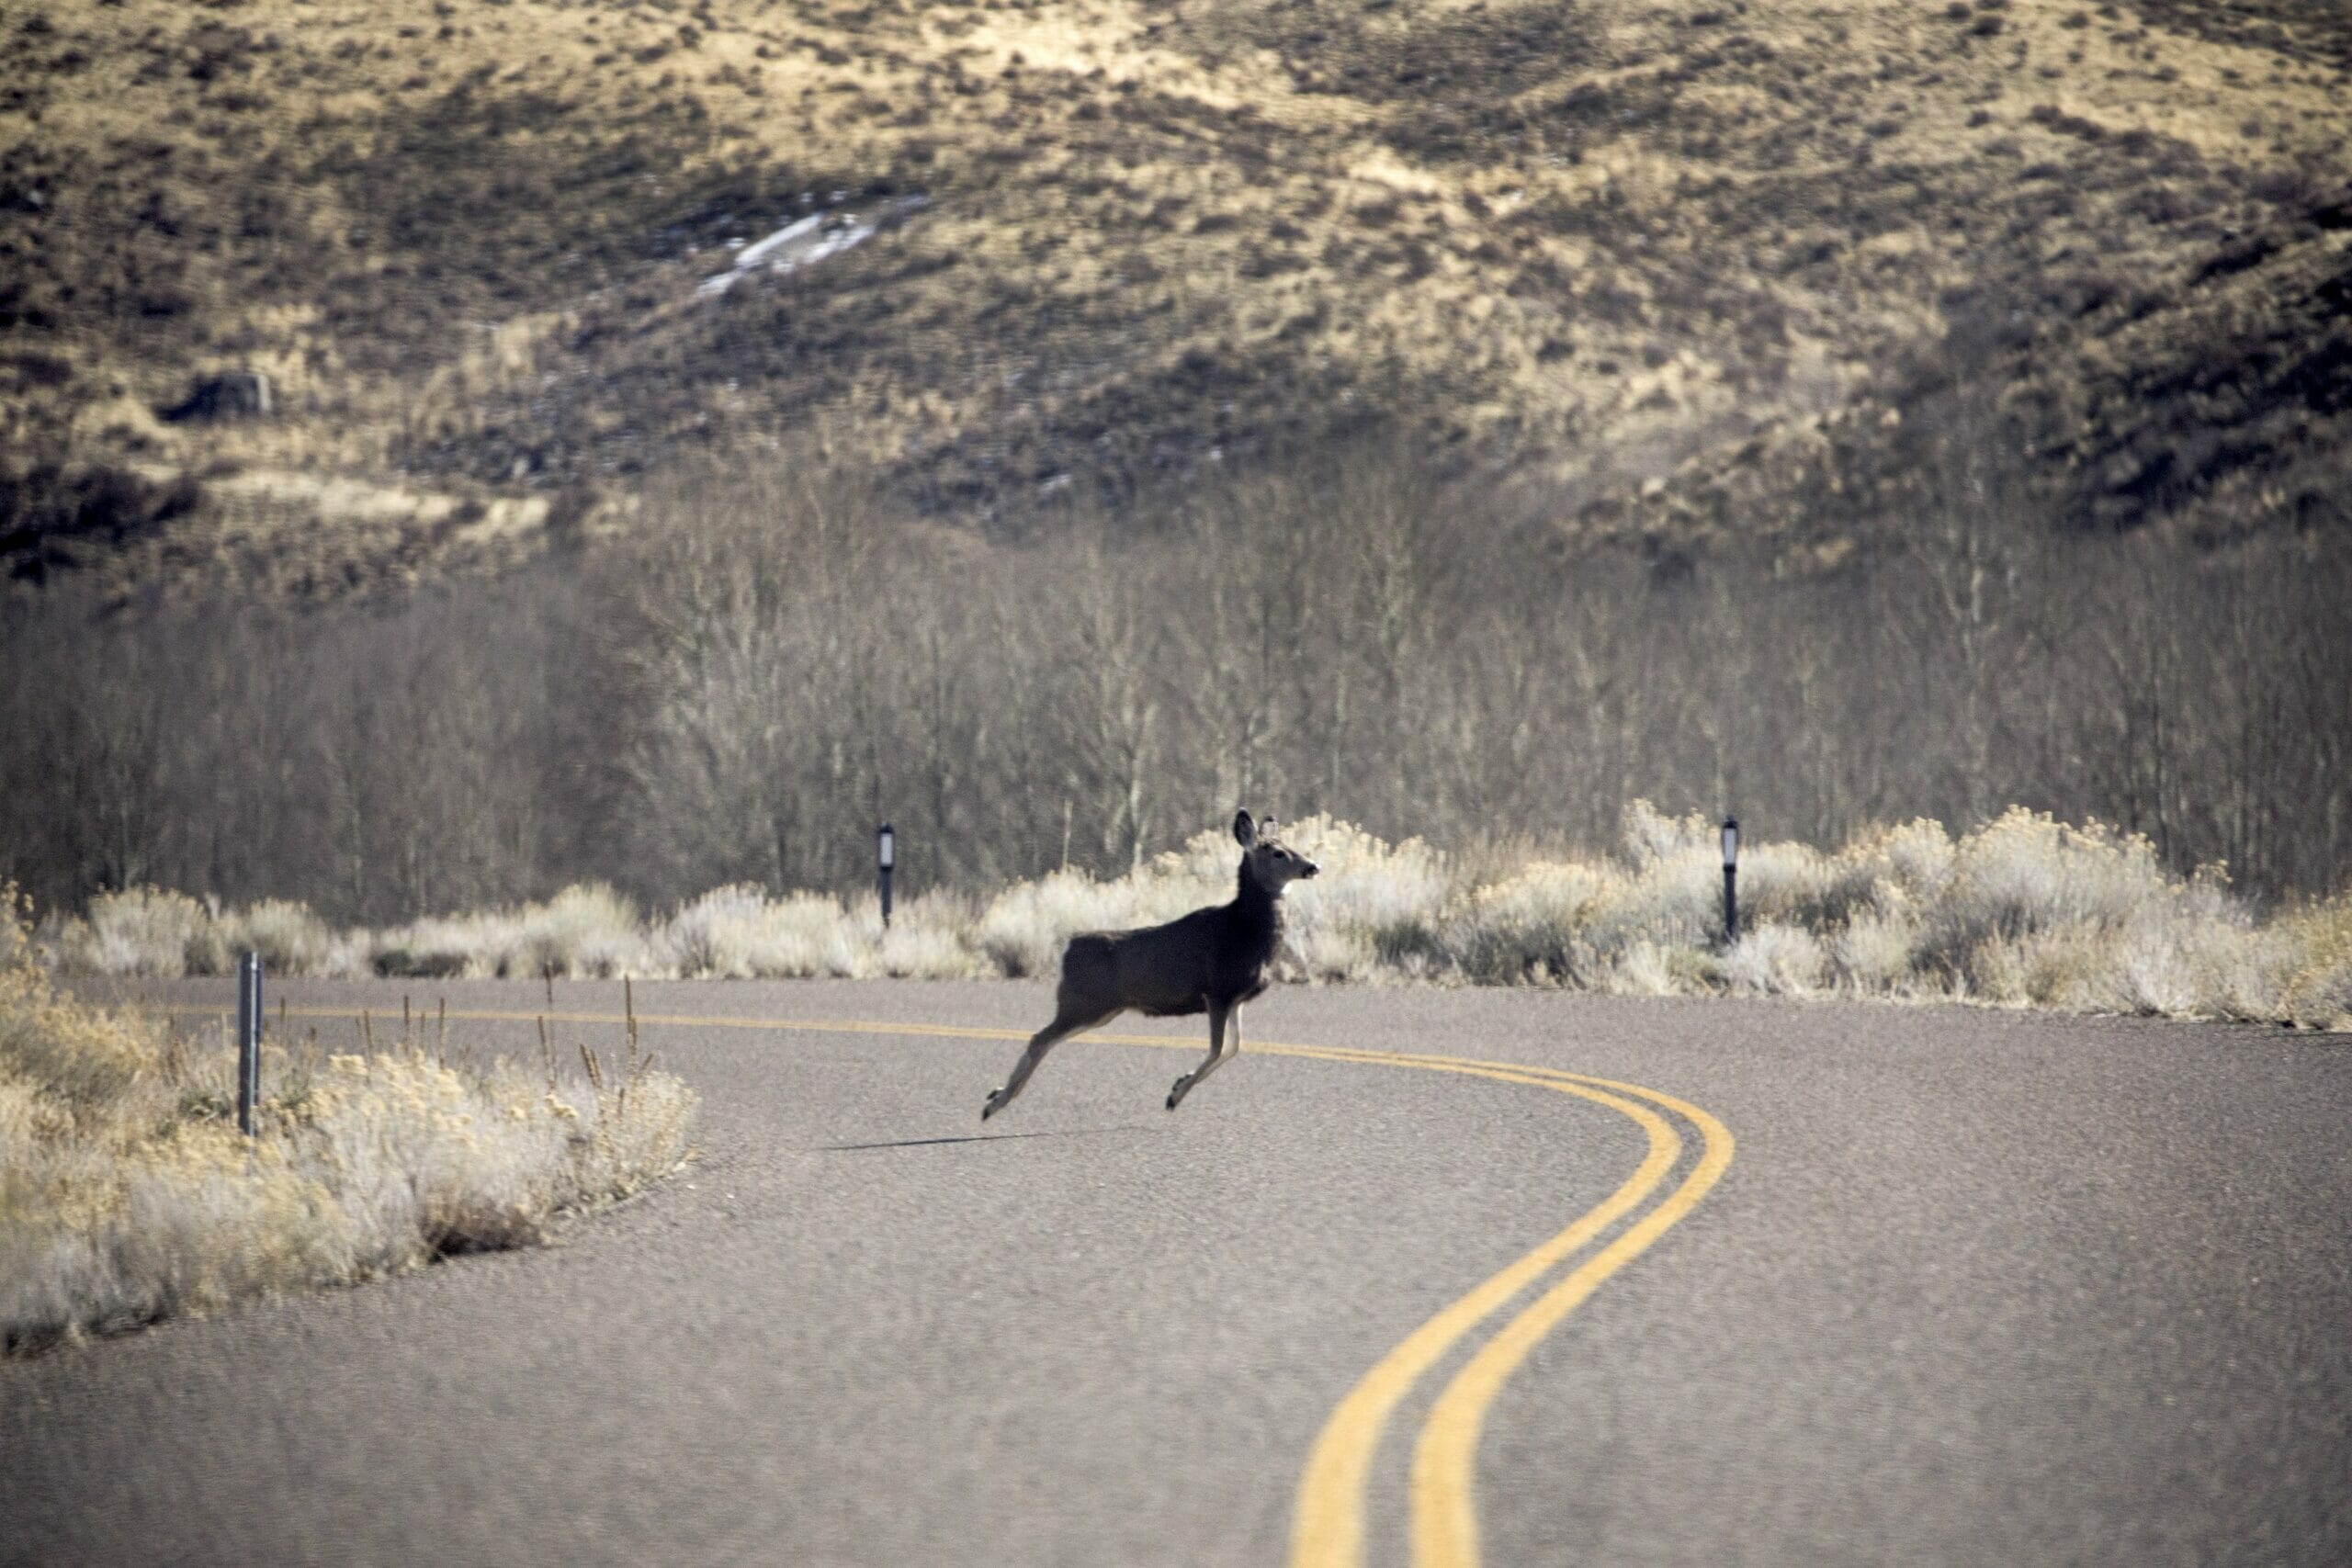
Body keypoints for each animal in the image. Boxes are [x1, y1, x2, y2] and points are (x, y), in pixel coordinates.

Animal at [983, 808, 1326, 1128]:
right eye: (1277, 852)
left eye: (1290, 845)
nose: (1313, 867)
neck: (1246, 930)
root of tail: (1066, 949)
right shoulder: (1216, 991)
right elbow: (1218, 1049)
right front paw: (1174, 1095)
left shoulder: (1235, 999)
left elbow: (1234, 1048)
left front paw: (1178, 1084)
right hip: (1083, 1003)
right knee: (1039, 1038)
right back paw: (994, 1104)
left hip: (1100, 1009)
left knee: (1044, 1039)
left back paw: (996, 1095)